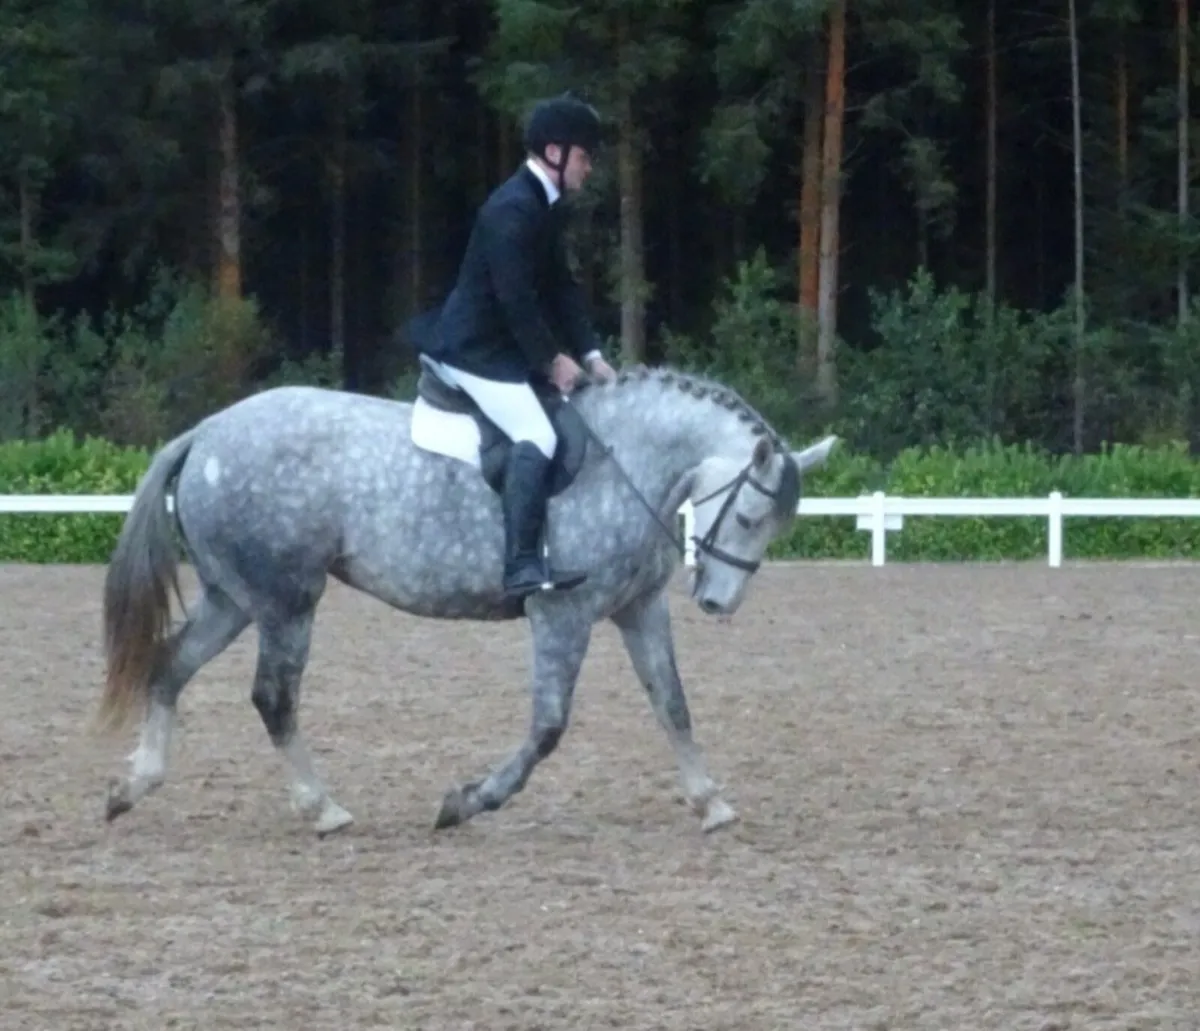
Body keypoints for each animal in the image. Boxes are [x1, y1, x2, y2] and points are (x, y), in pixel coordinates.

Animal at [94, 362, 836, 837]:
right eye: (749, 518)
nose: (717, 604)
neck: (625, 460)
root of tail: (207, 432)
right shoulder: (562, 613)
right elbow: (548, 726)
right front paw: (468, 801)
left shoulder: (637, 607)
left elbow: (673, 704)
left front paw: (710, 803)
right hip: (286, 602)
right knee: (273, 697)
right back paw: (322, 808)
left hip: (235, 598)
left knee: (170, 666)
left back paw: (133, 787)